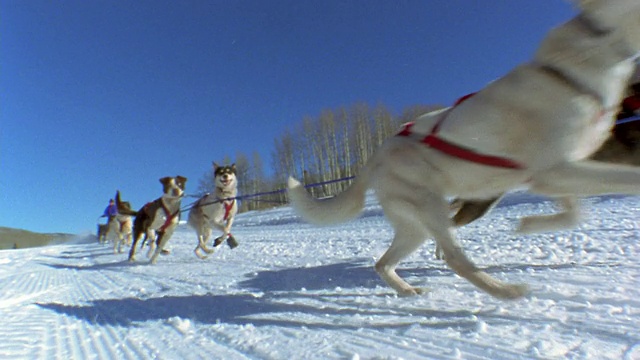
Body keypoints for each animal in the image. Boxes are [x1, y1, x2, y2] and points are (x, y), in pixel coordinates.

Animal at [288, 1, 640, 300]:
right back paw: (505, 291)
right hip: (430, 209)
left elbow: (575, 213)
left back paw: (408, 290)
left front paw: (528, 225)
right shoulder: (555, 171)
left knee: (383, 263)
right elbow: (624, 182)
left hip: (416, 227)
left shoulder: (556, 174)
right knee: (456, 259)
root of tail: (376, 154)